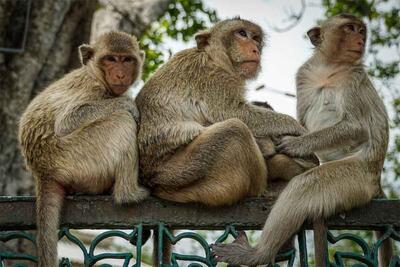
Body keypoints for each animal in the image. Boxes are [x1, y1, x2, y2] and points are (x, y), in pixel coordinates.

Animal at [18, 31, 149, 267]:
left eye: (127, 60)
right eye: (111, 59)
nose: (120, 74)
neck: (96, 74)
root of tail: (42, 172)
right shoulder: (91, 88)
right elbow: (67, 122)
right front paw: (128, 103)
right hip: (76, 156)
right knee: (122, 121)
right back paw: (129, 195)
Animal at [211, 14, 392, 267]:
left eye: (360, 30)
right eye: (350, 28)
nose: (360, 39)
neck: (329, 68)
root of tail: (376, 181)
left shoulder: (354, 77)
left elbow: (357, 127)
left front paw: (297, 144)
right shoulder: (304, 74)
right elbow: (302, 122)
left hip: (357, 176)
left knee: (304, 186)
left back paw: (259, 253)